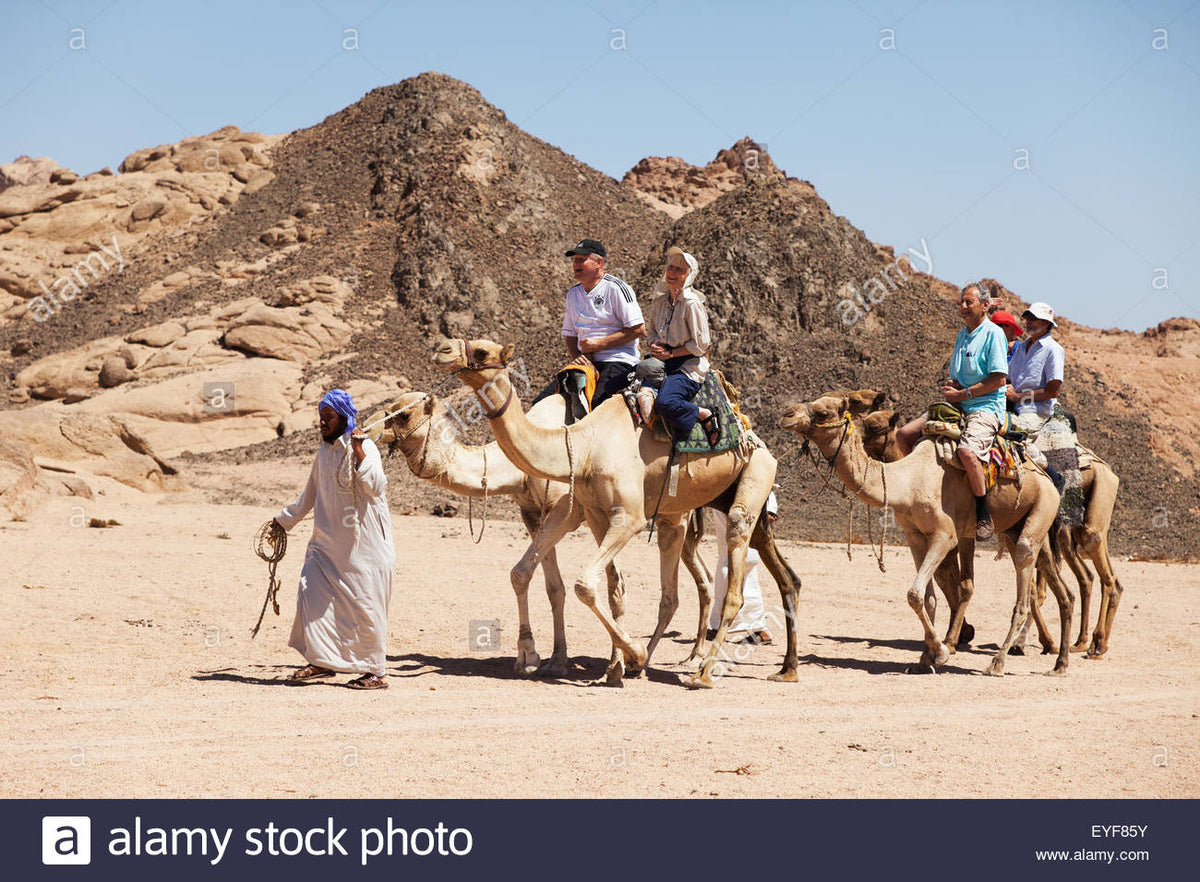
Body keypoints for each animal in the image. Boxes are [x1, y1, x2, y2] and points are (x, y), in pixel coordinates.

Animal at [379, 390, 715, 676]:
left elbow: (601, 584)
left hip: (674, 511)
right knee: (701, 575)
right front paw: (545, 659)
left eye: (402, 414)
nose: (373, 430)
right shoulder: (532, 515)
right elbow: (542, 582)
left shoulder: (567, 508)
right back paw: (692, 655)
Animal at [433, 337, 800, 689]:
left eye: (483, 351)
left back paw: (702, 673)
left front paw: (628, 654)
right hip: (708, 507)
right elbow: (590, 586)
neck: (583, 446)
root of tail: (751, 431)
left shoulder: (628, 517)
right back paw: (785, 669)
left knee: (733, 581)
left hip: (753, 474)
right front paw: (611, 665)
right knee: (772, 579)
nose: (441, 349)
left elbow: (584, 584)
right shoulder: (593, 513)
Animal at [781, 394, 1075, 675]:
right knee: (1061, 590)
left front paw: (942, 652)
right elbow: (927, 598)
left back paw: (998, 663)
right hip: (1016, 528)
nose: (786, 414)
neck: (908, 483)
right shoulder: (915, 537)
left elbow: (914, 593)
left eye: (822, 412)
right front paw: (925, 660)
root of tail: (1048, 477)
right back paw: (1059, 664)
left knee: (1024, 592)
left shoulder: (945, 535)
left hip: (1040, 510)